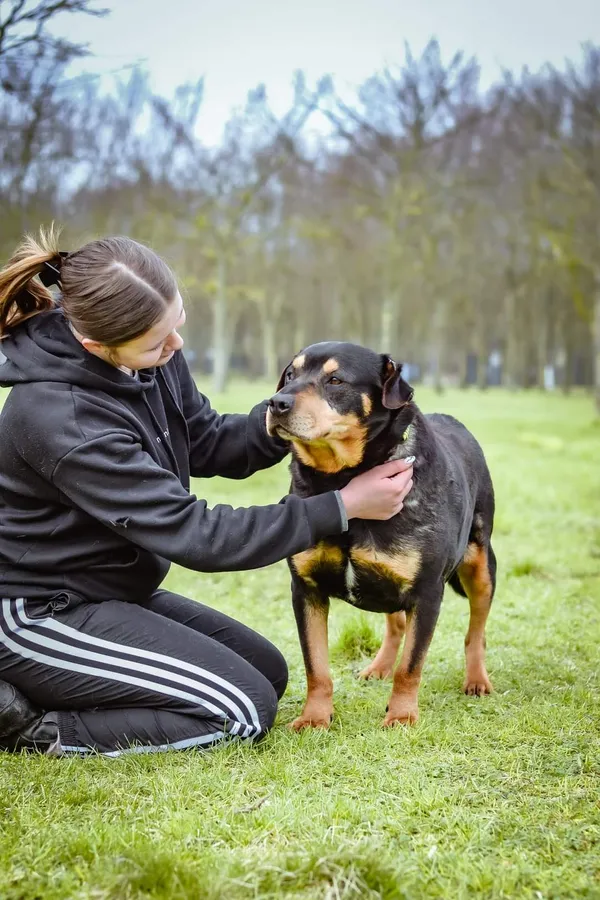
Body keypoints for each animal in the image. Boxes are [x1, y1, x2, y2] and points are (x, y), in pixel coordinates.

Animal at [268, 342, 496, 728]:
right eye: (290, 375)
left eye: (335, 380)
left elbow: (412, 665)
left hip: (481, 565)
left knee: (475, 632)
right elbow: (316, 665)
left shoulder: (427, 591)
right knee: (396, 624)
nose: (276, 402)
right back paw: (379, 667)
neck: (340, 479)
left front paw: (402, 716)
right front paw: (315, 718)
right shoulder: (306, 589)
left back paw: (477, 680)